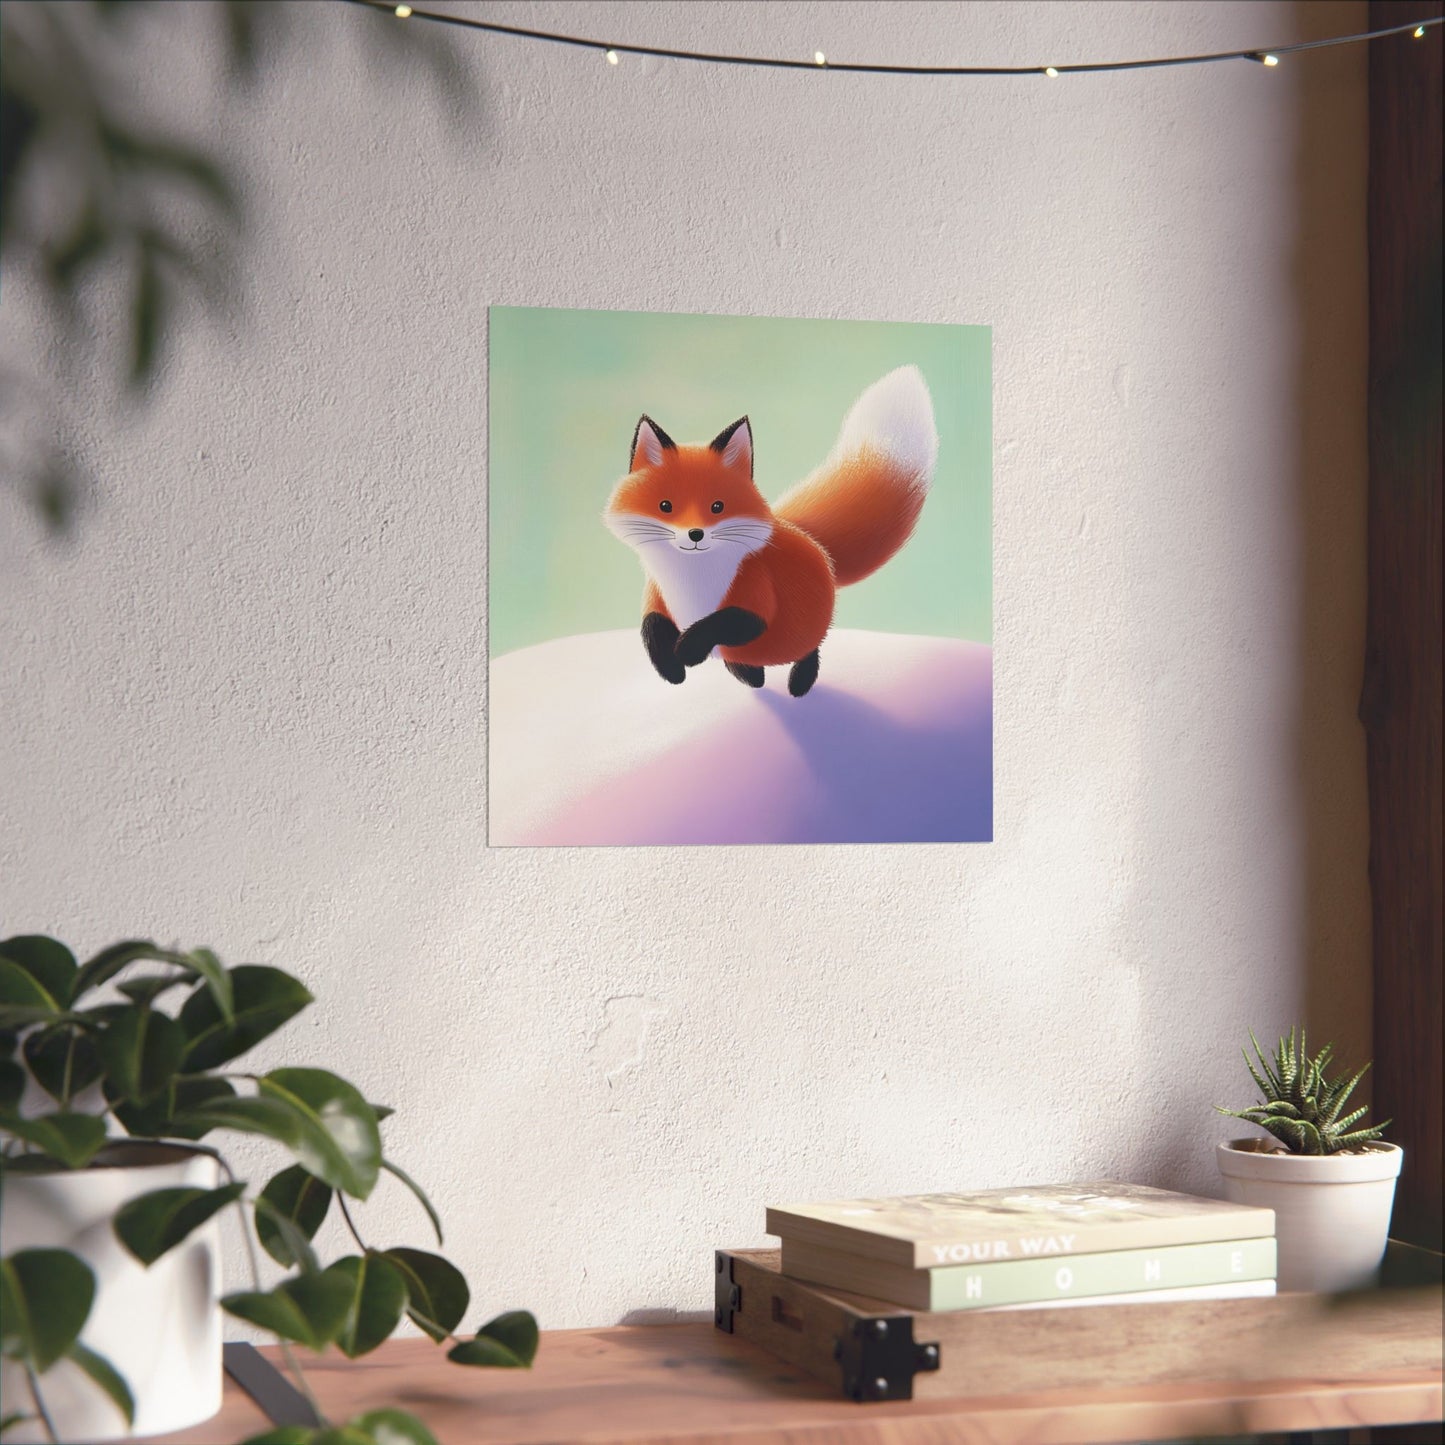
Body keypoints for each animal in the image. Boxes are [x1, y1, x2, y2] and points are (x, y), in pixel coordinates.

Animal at [604, 365, 938, 697]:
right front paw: (672, 671)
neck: (690, 582)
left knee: (810, 650)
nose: (695, 534)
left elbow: (720, 623)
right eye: (665, 505)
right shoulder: (657, 597)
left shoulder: (754, 598)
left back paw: (797, 683)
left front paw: (687, 651)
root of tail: (809, 539)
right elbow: (651, 626)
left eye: (717, 506)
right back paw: (749, 675)